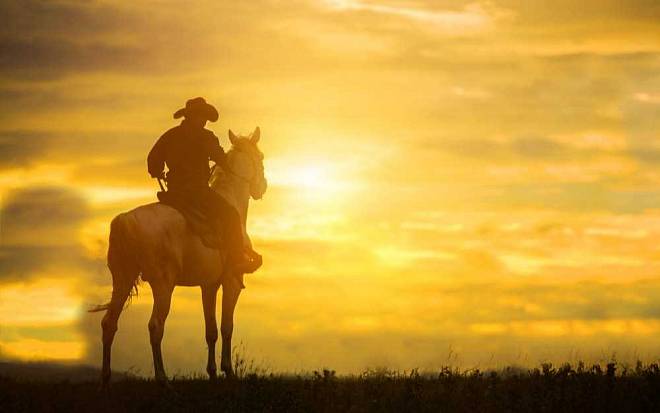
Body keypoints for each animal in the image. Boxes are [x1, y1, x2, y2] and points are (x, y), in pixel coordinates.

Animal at [91, 126, 266, 386]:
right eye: (261, 157)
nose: (262, 187)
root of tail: (126, 220)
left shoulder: (208, 285)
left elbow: (211, 330)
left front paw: (212, 372)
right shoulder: (231, 283)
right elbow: (227, 326)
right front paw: (228, 371)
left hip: (122, 280)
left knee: (109, 323)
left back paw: (105, 379)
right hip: (163, 285)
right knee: (155, 326)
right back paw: (162, 378)